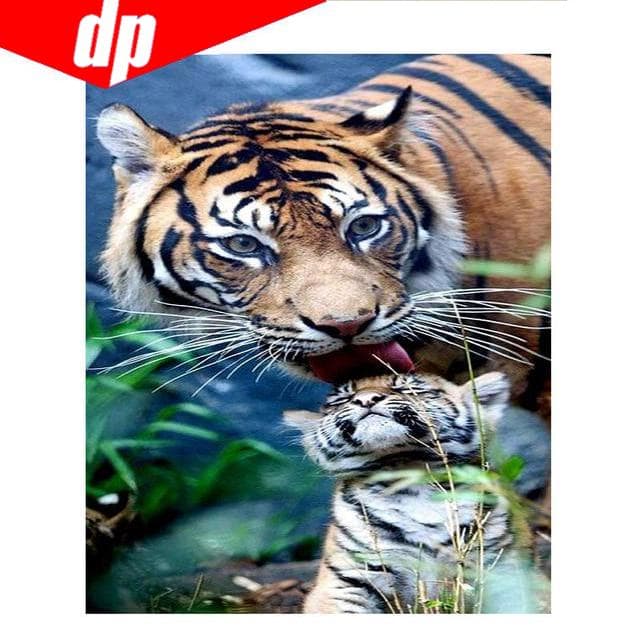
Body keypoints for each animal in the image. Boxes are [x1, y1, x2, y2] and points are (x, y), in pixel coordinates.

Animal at [285, 370, 525, 614]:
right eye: (343, 399)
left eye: (405, 388)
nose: (366, 399)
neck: (410, 470)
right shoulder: (347, 579)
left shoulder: (504, 573)